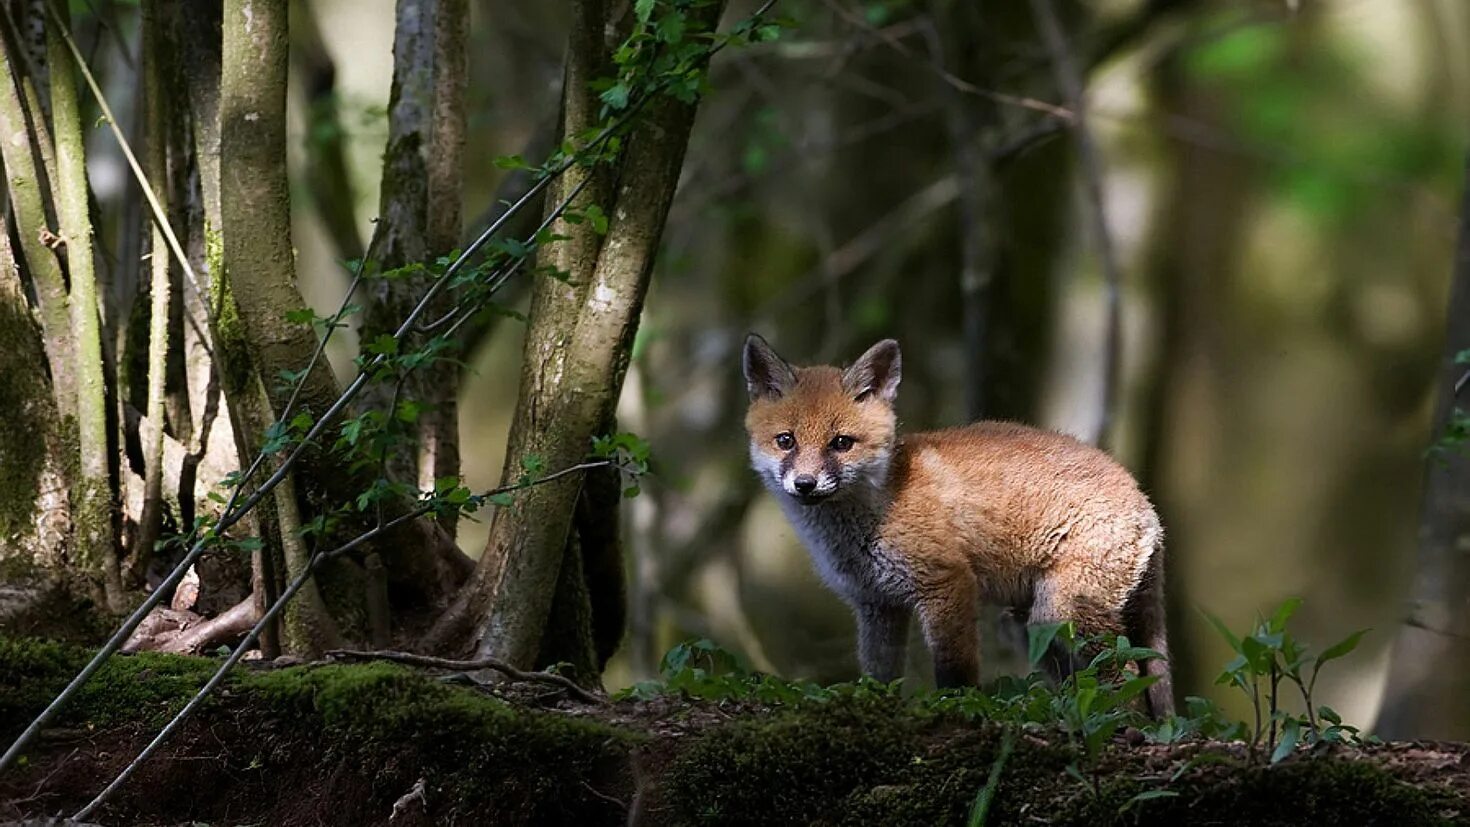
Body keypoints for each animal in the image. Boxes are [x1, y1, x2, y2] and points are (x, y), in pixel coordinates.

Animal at [746, 333, 1170, 713]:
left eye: (840, 443)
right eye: (786, 441)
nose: (805, 484)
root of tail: (1143, 498)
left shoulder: (947, 582)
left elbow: (955, 672)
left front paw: (957, 707)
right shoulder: (877, 605)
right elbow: (880, 675)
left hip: (1063, 610)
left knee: (1128, 674)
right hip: (1031, 625)